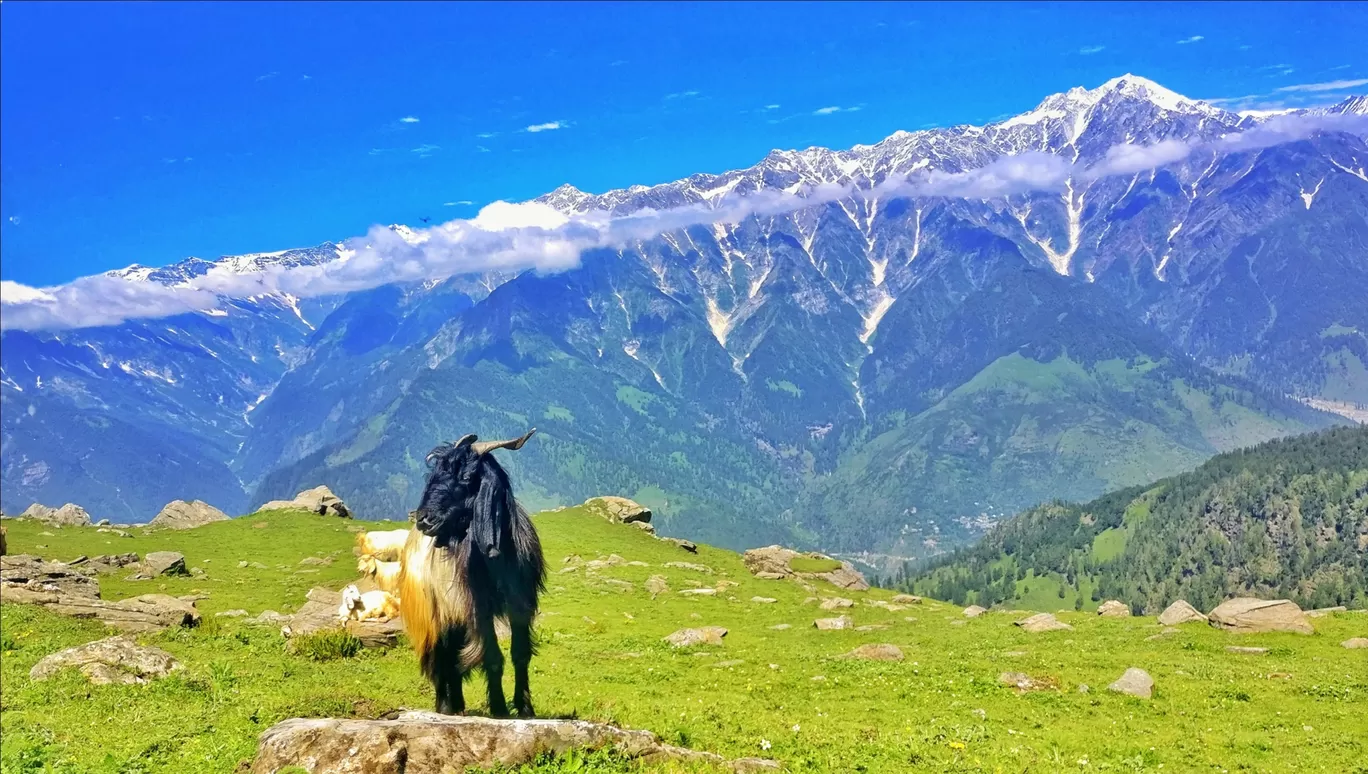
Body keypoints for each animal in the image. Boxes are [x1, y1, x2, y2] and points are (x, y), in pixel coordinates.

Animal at [396, 426, 544, 716]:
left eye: (465, 477)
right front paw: (499, 709)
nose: (424, 520)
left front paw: (525, 709)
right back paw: (445, 707)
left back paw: (458, 706)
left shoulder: (520, 604)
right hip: (436, 616)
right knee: (441, 659)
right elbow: (492, 657)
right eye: (434, 474)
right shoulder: (477, 609)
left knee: (451, 660)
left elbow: (520, 655)